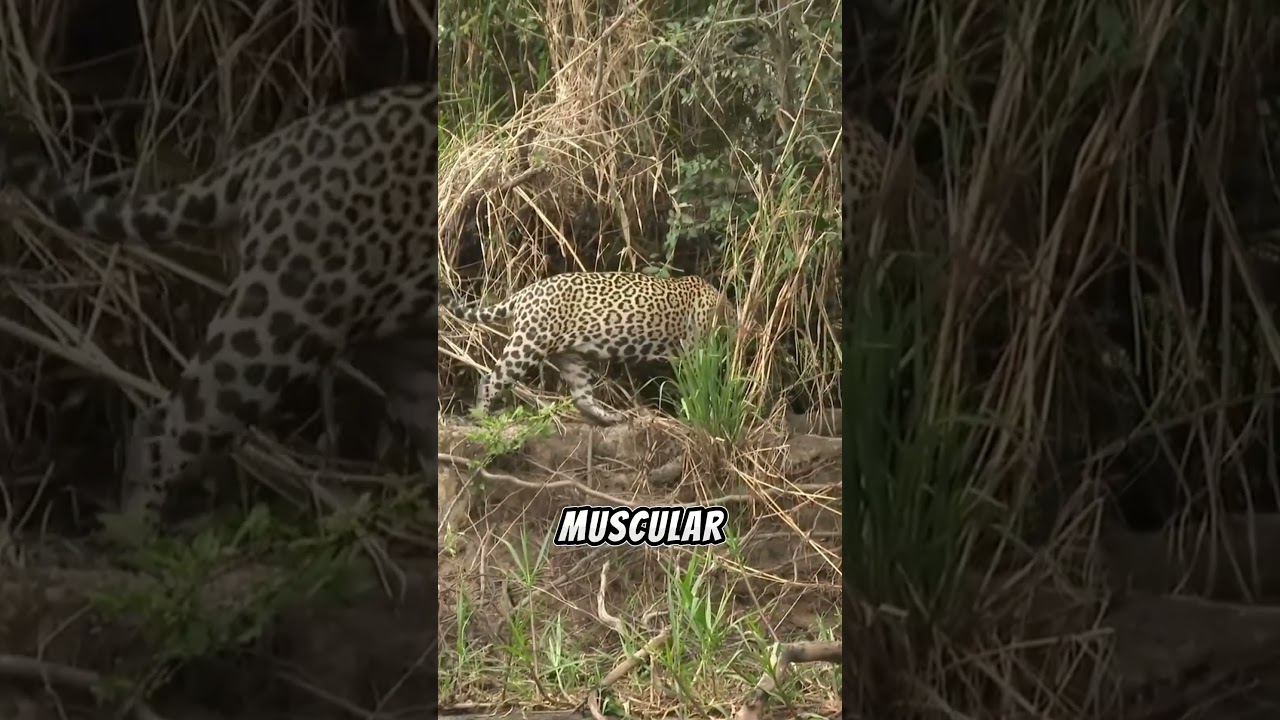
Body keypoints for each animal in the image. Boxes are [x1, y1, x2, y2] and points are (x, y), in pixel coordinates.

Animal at [443, 271, 735, 426]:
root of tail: (523, 294)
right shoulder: (694, 352)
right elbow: (698, 386)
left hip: (570, 357)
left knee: (581, 397)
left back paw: (610, 418)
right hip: (529, 343)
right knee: (490, 379)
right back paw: (480, 415)